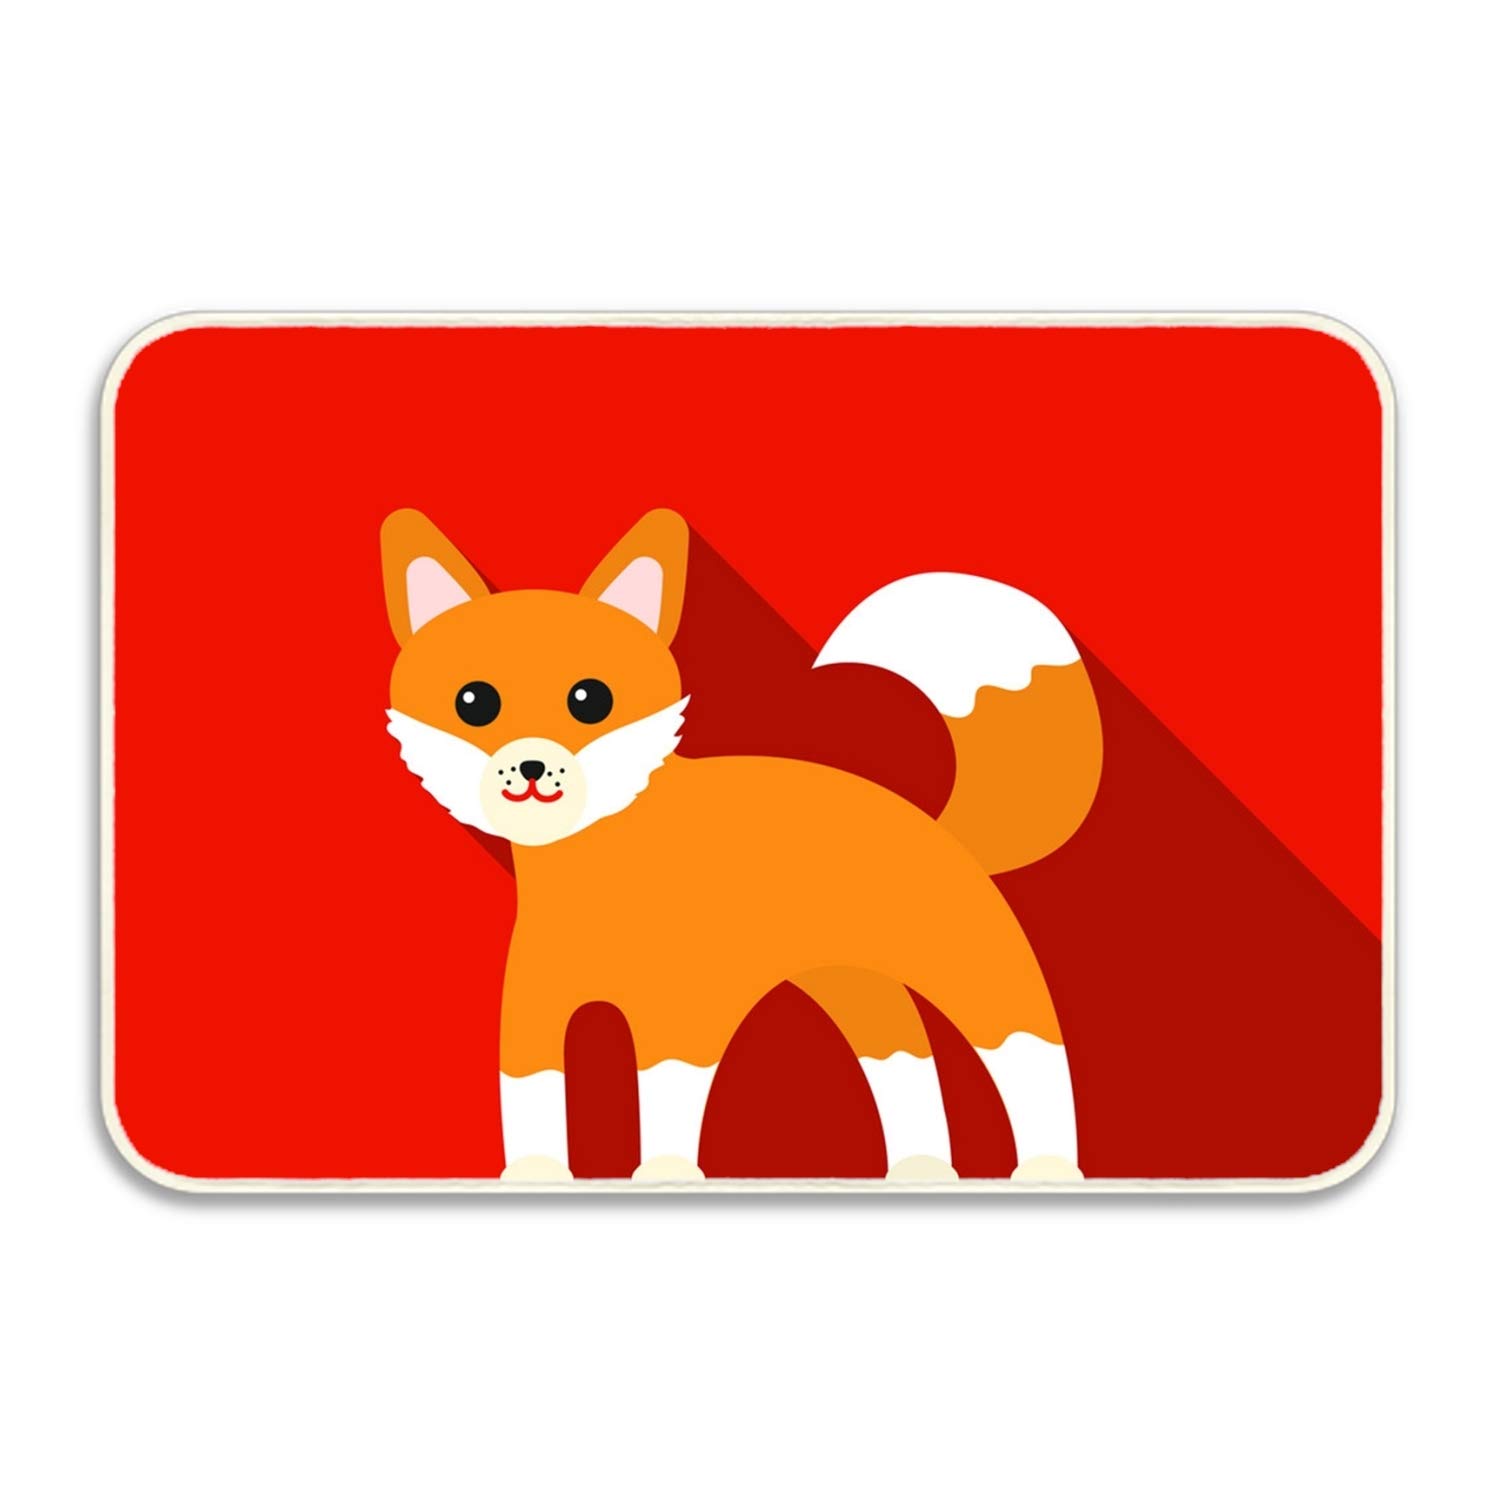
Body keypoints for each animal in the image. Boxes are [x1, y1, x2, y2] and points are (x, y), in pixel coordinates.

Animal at [380, 507, 1103, 1183]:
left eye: (590, 700)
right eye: (474, 702)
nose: (531, 766)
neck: (594, 866)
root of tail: (936, 819)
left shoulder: (684, 1012)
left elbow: (667, 1092)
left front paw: (664, 1170)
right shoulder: (536, 1006)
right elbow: (530, 1094)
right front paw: (536, 1173)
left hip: (973, 969)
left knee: (1032, 1052)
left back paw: (1049, 1168)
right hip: (853, 984)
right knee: (906, 1057)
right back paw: (919, 1166)